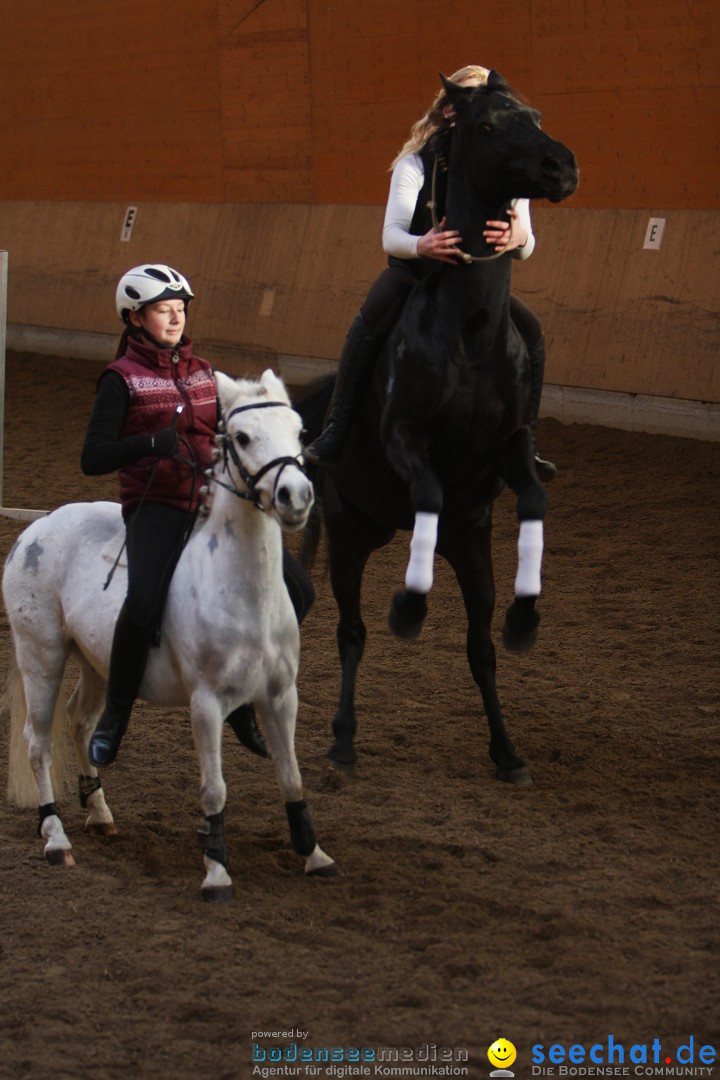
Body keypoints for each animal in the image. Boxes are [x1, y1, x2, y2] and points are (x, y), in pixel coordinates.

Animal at [2, 367, 338, 898]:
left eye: (300, 431)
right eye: (242, 437)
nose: (296, 497)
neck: (243, 590)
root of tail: (33, 531)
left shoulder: (282, 696)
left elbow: (292, 777)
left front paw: (314, 853)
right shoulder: (206, 704)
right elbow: (214, 788)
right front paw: (216, 870)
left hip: (97, 660)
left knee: (81, 721)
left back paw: (99, 812)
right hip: (41, 656)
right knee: (38, 742)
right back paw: (55, 837)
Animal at [297, 76, 578, 786]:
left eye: (536, 115)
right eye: (486, 126)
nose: (561, 167)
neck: (470, 329)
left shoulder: (507, 451)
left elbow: (535, 497)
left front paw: (526, 618)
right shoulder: (405, 440)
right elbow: (427, 491)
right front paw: (411, 605)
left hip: (467, 546)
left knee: (479, 647)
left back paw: (506, 750)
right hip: (350, 534)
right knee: (352, 633)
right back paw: (343, 740)